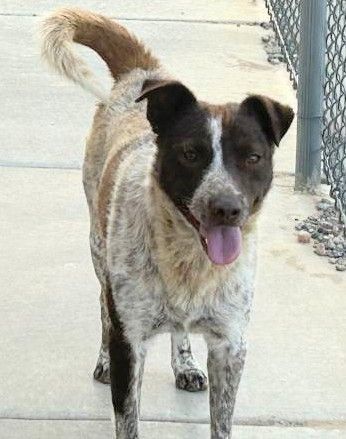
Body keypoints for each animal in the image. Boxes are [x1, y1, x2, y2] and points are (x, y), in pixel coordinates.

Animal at [41, 7, 294, 439]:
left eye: (253, 157)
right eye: (190, 154)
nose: (226, 208)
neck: (190, 263)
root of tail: (141, 73)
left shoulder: (231, 345)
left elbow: (222, 420)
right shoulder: (130, 341)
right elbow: (127, 418)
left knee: (180, 330)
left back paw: (186, 364)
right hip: (97, 247)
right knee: (103, 307)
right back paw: (103, 359)